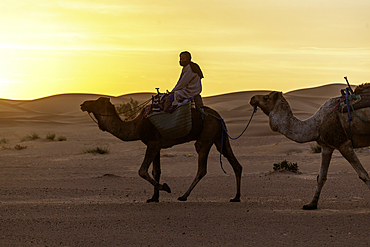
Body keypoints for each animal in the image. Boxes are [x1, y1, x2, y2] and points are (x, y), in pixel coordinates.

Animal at [81, 97, 243, 203]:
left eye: (96, 101)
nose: (83, 104)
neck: (135, 126)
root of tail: (219, 117)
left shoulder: (152, 144)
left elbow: (142, 171)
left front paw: (166, 187)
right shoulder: (157, 145)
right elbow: (156, 171)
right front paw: (154, 198)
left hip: (207, 136)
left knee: (202, 168)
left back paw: (183, 196)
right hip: (219, 137)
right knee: (235, 163)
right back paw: (236, 197)